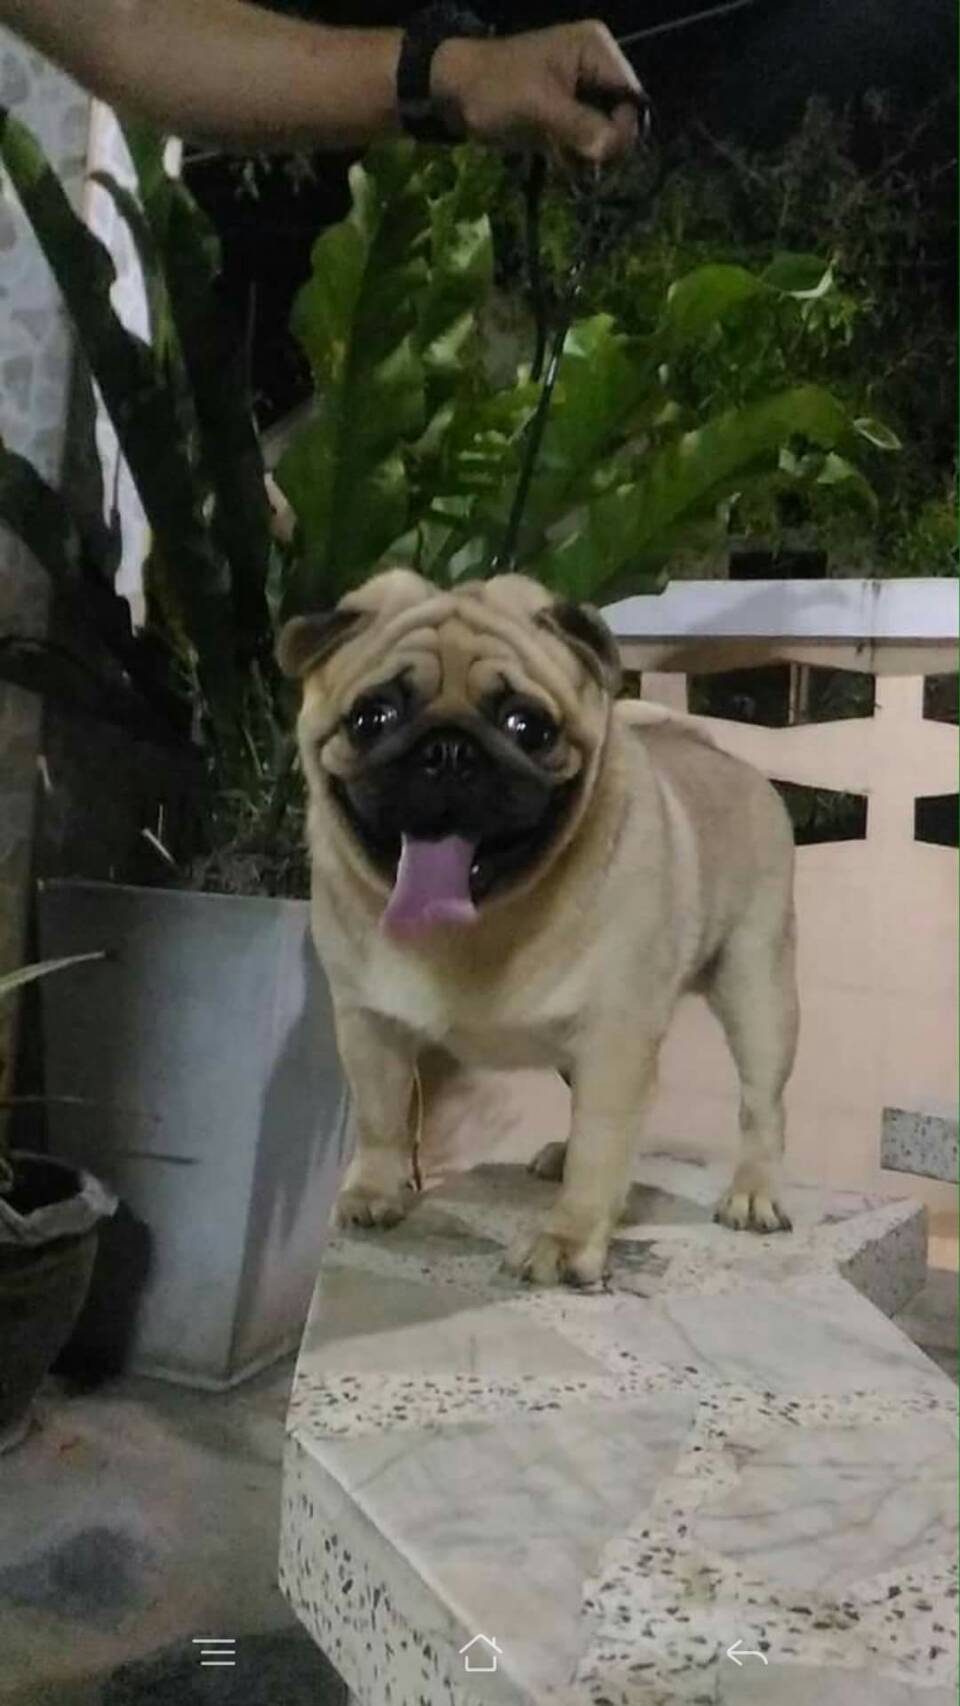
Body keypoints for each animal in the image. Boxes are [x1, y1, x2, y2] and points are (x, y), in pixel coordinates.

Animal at [278, 568, 798, 1286]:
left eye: (527, 726)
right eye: (371, 718)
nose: (448, 750)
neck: (479, 923)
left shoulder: (615, 1039)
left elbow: (602, 1149)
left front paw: (569, 1239)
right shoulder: (368, 1025)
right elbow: (381, 1118)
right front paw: (374, 1193)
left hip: (757, 989)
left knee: (761, 1104)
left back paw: (755, 1191)